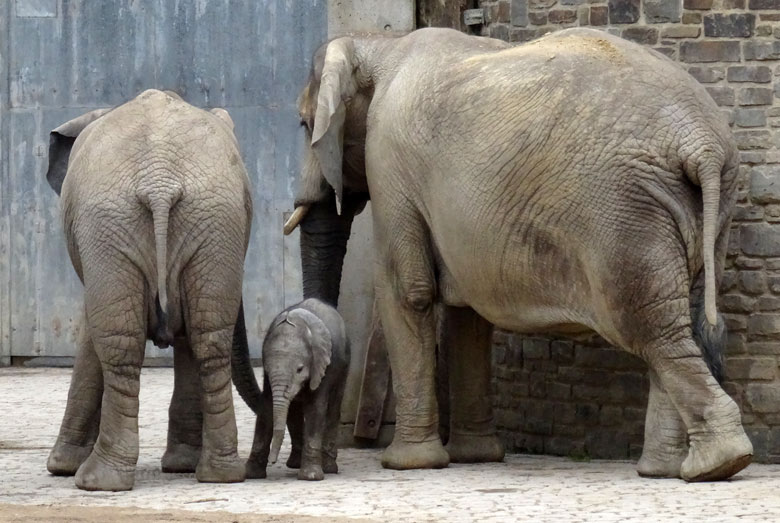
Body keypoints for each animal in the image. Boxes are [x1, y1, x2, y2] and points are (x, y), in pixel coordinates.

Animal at [45, 89, 250, 492]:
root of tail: (160, 180)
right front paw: (182, 464)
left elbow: (92, 334)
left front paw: (60, 467)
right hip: (215, 221)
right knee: (210, 341)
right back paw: (221, 475)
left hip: (110, 223)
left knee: (120, 345)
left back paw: (97, 481)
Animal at [284, 28, 752, 484]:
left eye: (305, 125)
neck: (379, 44)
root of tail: (703, 144)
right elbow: (467, 310)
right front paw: (475, 458)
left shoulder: (389, 159)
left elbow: (407, 291)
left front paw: (409, 465)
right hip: (702, 208)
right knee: (679, 319)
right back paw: (669, 470)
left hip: (627, 214)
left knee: (649, 327)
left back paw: (718, 463)